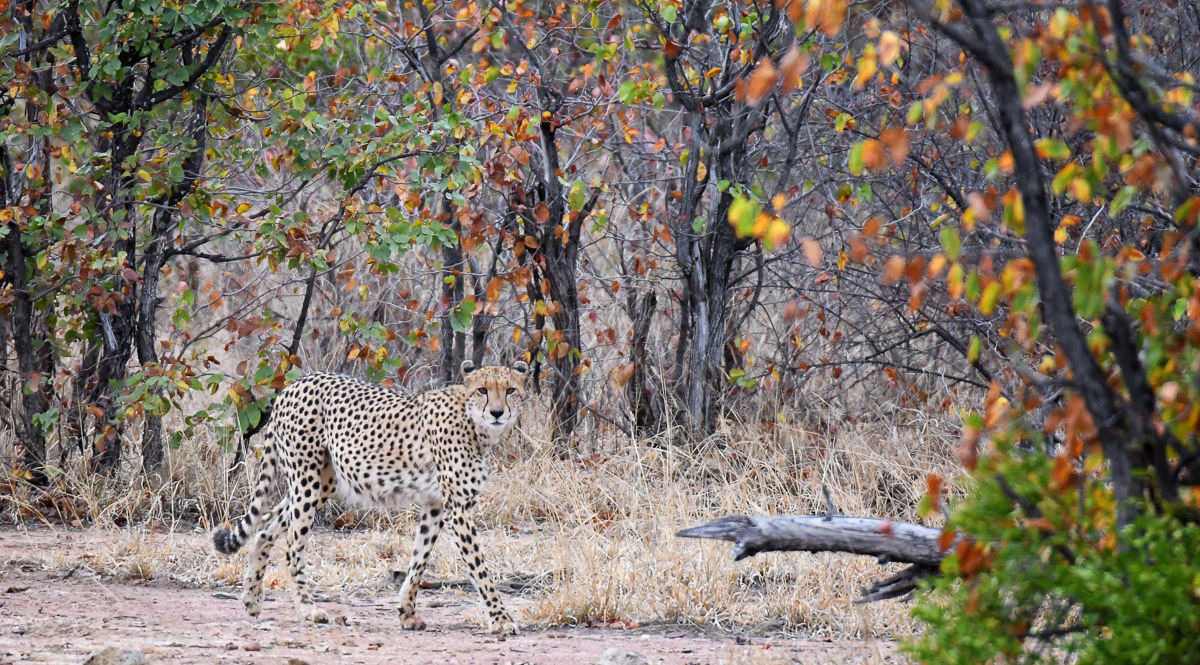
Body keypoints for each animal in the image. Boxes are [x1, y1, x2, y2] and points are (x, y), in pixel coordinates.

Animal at [211, 360, 528, 634]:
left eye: (510, 390)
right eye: (483, 390)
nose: (497, 413)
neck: (473, 421)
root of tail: (293, 385)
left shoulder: (436, 506)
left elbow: (419, 559)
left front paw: (406, 612)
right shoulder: (458, 511)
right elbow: (480, 568)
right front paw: (501, 619)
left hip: (322, 482)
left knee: (265, 528)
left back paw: (252, 598)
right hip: (307, 480)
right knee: (291, 548)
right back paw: (308, 609)